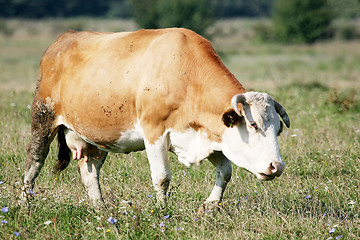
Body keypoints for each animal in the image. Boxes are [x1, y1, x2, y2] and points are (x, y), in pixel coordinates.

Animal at [21, 28, 290, 207]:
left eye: (278, 129)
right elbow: (161, 177)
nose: (276, 166)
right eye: (253, 124)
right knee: (34, 161)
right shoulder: (154, 132)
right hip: (43, 117)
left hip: (98, 137)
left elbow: (225, 172)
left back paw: (101, 209)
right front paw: (162, 212)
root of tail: (64, 39)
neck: (185, 74)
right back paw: (24, 203)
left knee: (90, 173)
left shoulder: (210, 136)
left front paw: (210, 207)